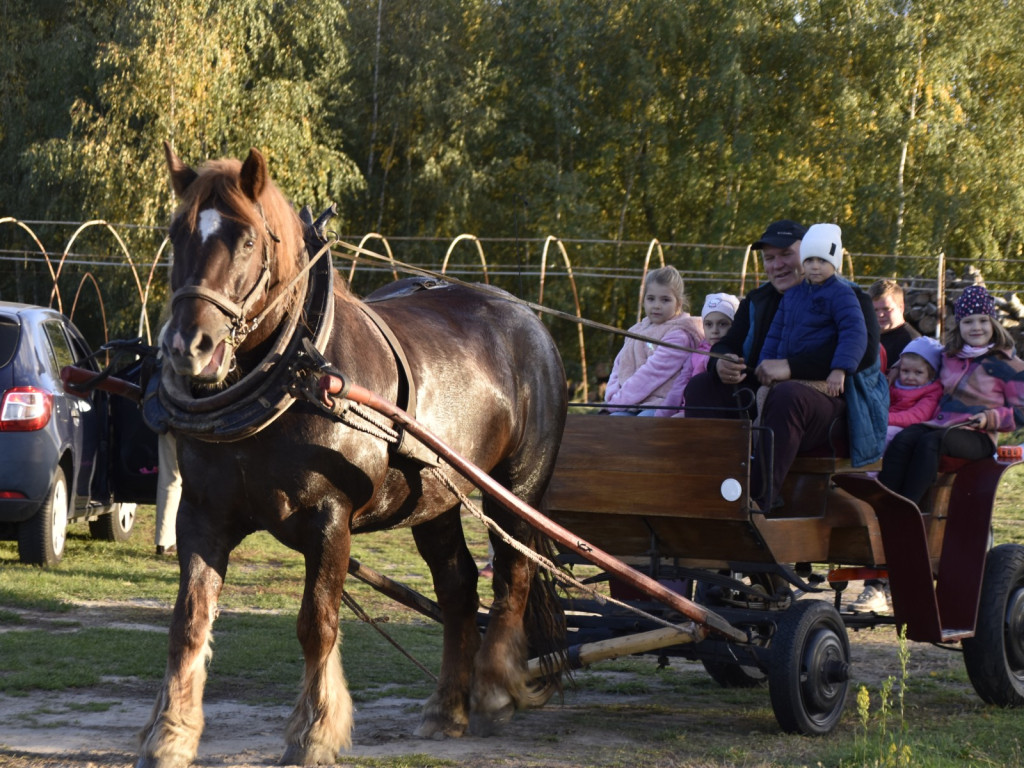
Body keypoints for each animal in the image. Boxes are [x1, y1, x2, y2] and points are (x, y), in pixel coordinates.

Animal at [135, 143, 569, 765]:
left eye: (247, 240)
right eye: (176, 232)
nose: (188, 347)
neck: (294, 372)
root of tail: (532, 323)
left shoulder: (329, 518)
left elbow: (317, 623)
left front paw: (314, 732)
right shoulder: (202, 515)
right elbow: (188, 623)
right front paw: (171, 733)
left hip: (516, 491)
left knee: (513, 575)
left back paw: (492, 692)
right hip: (435, 501)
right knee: (458, 588)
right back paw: (447, 709)